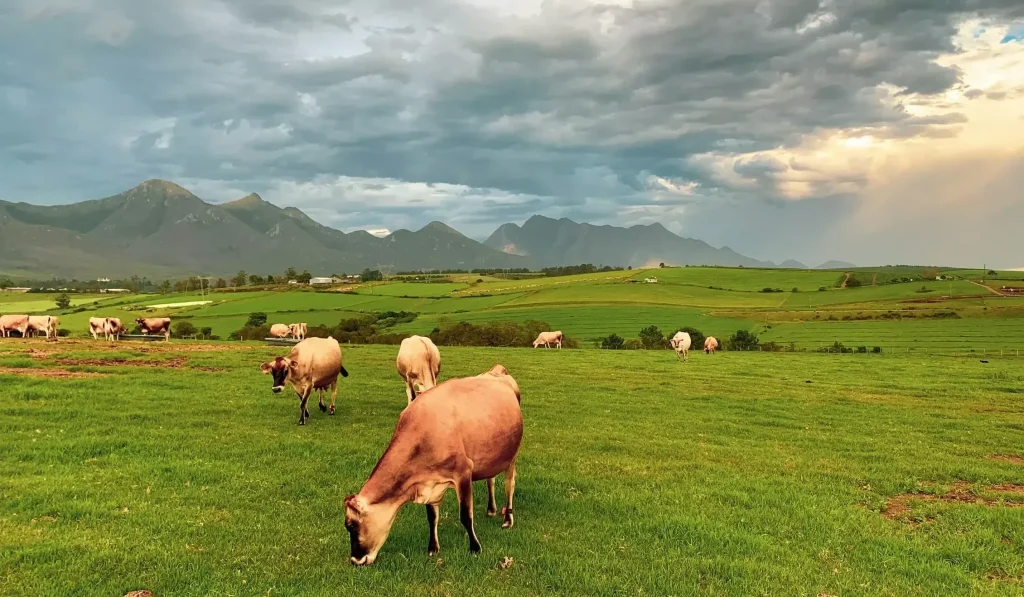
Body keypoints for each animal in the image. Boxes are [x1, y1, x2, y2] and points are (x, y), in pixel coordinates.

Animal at [344, 370, 523, 566]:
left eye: (351, 525)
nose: (355, 560)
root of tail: (497, 371)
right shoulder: (430, 481)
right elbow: (432, 517)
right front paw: (433, 548)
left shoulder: (463, 472)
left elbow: (465, 515)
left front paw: (475, 548)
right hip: (491, 456)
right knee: (490, 479)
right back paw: (491, 509)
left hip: (512, 456)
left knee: (509, 486)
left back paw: (508, 519)